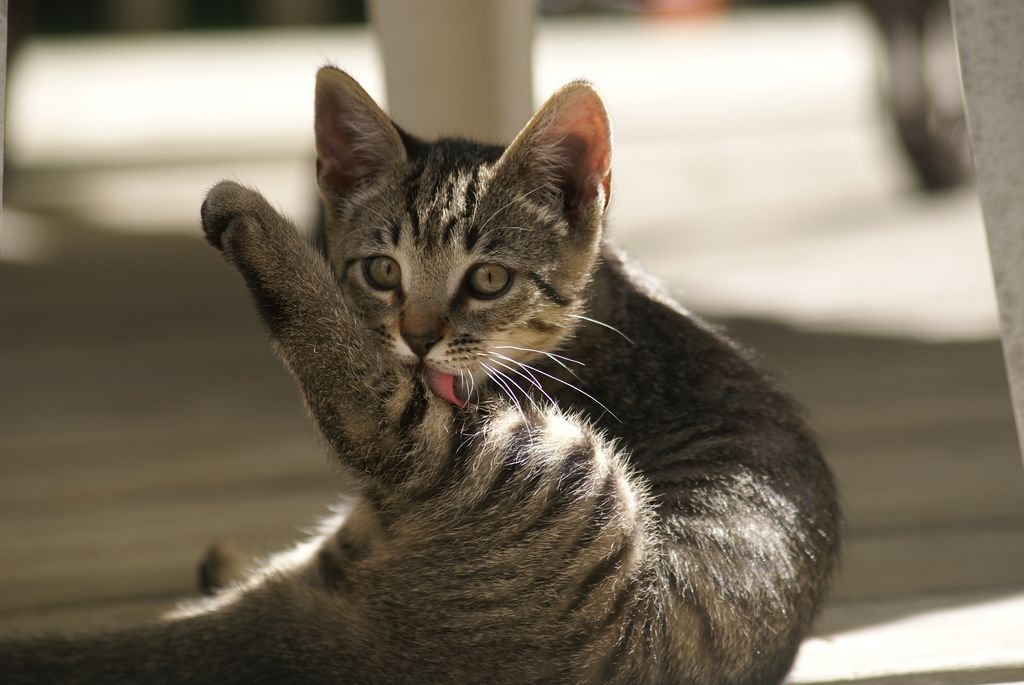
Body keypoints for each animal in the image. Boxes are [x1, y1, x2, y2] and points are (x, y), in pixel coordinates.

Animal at [0, 65, 839, 683]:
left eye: (489, 279)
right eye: (381, 269)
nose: (418, 336)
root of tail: (377, 644)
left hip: (547, 469)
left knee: (367, 413)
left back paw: (254, 224)